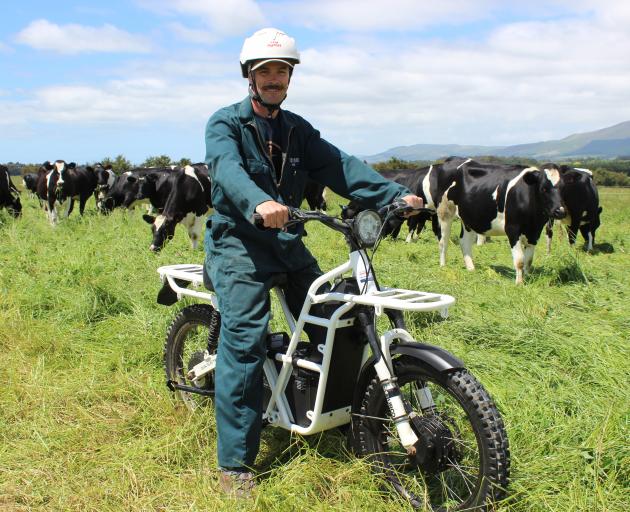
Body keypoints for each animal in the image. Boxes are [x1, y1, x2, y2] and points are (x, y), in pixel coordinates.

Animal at [440, 160, 568, 284]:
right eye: (544, 188)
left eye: (563, 187)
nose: (560, 211)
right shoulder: (512, 229)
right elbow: (520, 261)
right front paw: (519, 283)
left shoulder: (534, 232)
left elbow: (529, 260)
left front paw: (527, 278)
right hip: (445, 212)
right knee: (443, 241)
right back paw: (443, 266)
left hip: (468, 219)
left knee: (464, 242)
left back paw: (471, 269)